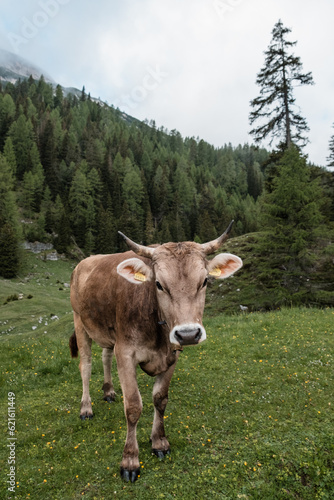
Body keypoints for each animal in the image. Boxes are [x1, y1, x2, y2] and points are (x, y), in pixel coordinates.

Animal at [69, 222, 241, 480]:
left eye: (204, 281)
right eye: (159, 284)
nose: (188, 333)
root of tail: (85, 262)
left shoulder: (172, 355)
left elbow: (160, 399)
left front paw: (159, 442)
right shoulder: (125, 353)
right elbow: (133, 407)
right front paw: (130, 460)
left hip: (108, 332)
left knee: (105, 355)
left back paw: (109, 391)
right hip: (80, 322)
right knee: (86, 365)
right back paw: (86, 408)